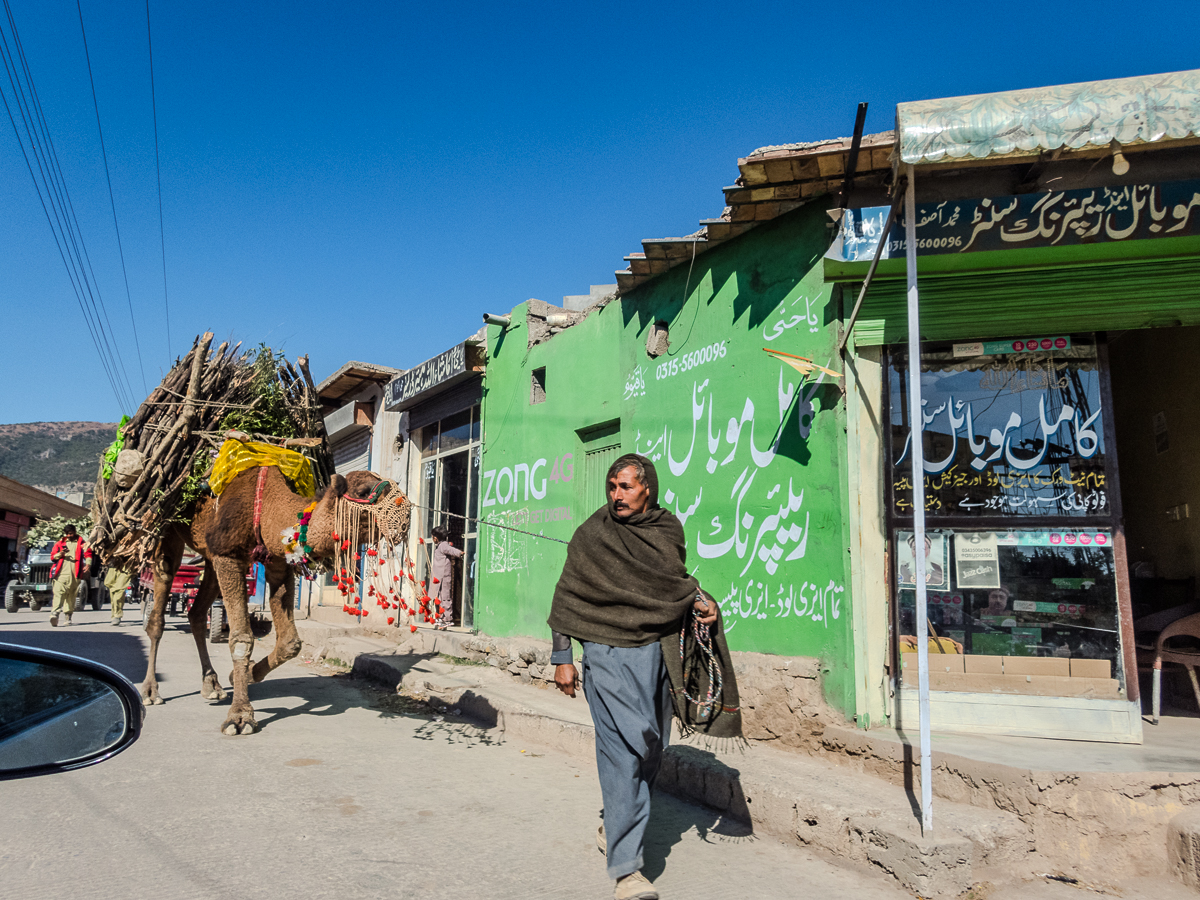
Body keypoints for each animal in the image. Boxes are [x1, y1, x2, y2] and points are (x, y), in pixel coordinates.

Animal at [141, 468, 408, 734]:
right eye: (363, 491)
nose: (404, 509)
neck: (268, 507)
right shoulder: (228, 554)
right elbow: (241, 638)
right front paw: (240, 716)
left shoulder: (278, 562)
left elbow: (290, 643)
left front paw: (242, 675)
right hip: (169, 531)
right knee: (162, 591)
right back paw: (150, 692)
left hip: (209, 555)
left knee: (196, 612)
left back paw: (211, 685)